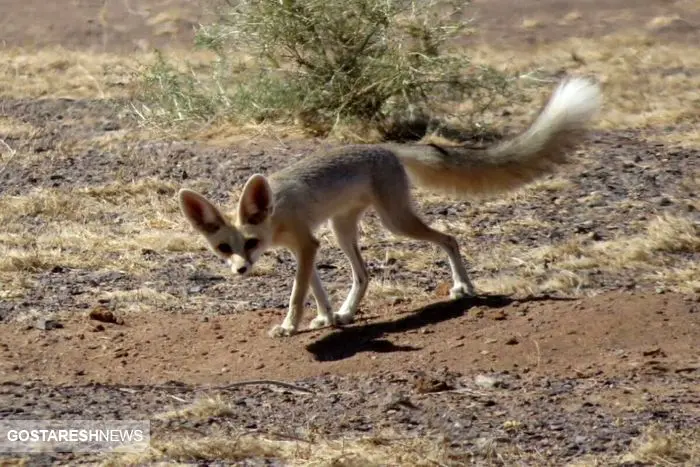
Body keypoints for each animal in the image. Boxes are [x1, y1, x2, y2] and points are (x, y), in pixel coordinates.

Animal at [179, 77, 600, 340]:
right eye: (224, 248)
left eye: (249, 243)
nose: (240, 270)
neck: (276, 213)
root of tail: (385, 148)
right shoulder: (308, 246)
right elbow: (314, 288)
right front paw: (326, 317)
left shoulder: (307, 244)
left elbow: (298, 293)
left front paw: (289, 326)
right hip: (342, 229)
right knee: (364, 274)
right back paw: (347, 313)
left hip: (395, 222)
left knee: (449, 238)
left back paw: (464, 287)